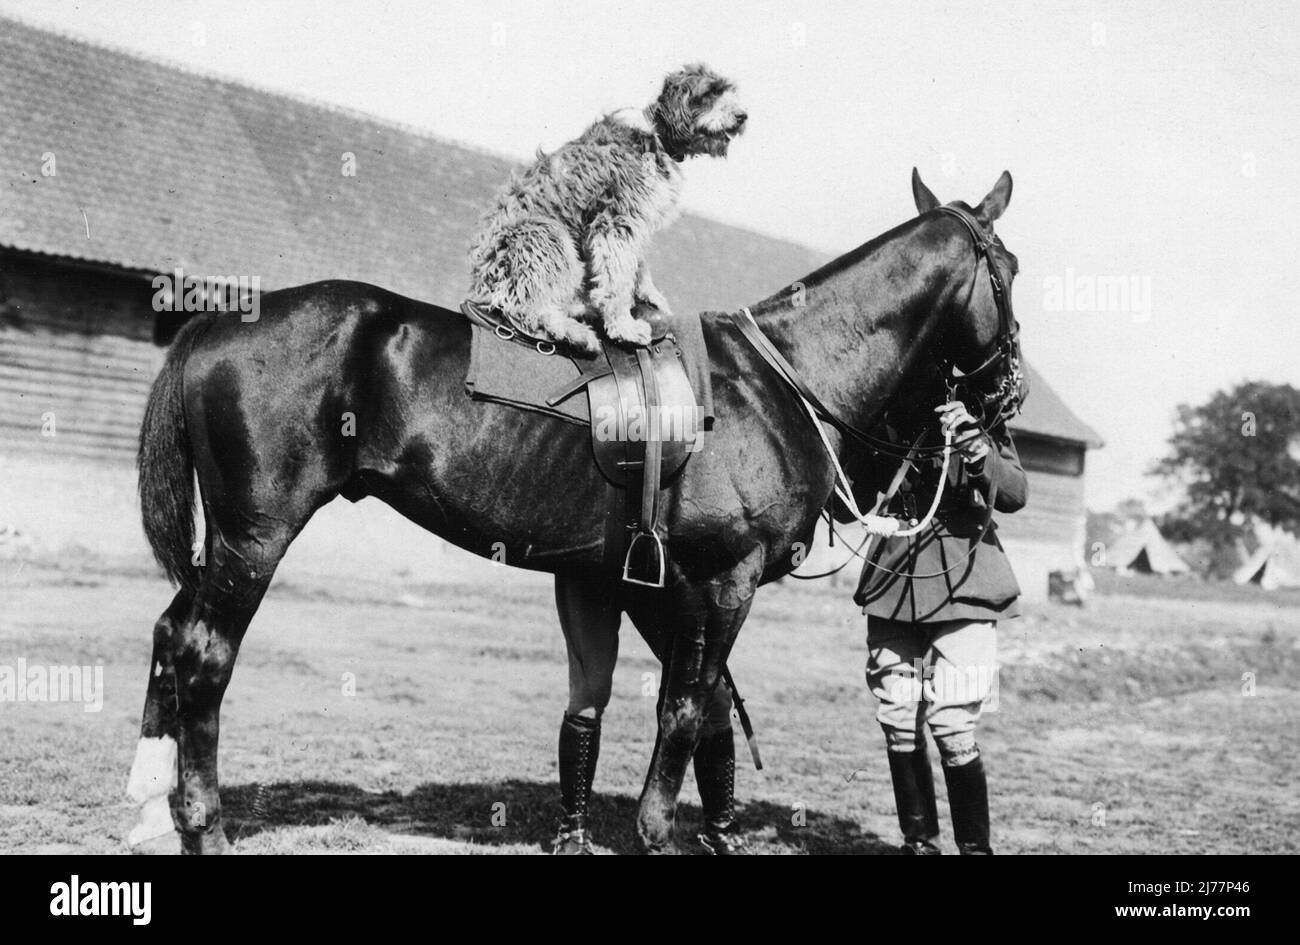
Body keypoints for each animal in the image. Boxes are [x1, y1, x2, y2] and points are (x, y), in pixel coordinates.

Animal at [126, 170, 1019, 857]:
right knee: (204, 654)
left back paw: (148, 809)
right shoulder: (722, 583)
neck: (776, 382)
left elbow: (702, 710)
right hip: (254, 539)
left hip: (223, 545)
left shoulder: (664, 588)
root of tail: (221, 320)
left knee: (170, 634)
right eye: (1008, 267)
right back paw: (204, 824)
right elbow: (685, 708)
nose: (1010, 399)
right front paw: (656, 830)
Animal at [473, 63, 748, 350]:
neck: (657, 136)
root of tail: (480, 283)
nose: (743, 116)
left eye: (730, 91)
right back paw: (575, 332)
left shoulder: (637, 220)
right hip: (545, 235)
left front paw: (651, 296)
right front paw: (624, 327)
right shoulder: (616, 223)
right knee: (525, 307)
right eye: (710, 92)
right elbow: (618, 280)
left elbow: (638, 265)